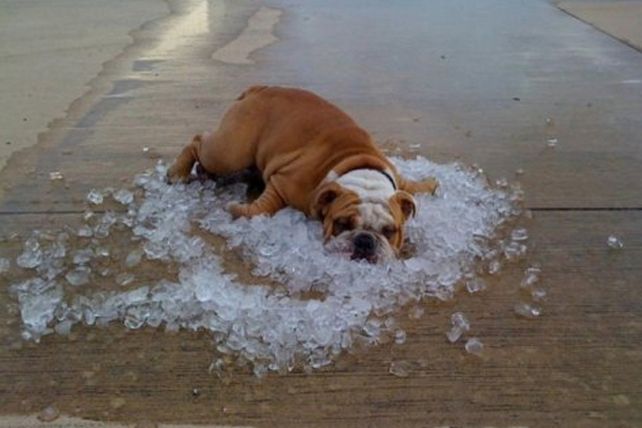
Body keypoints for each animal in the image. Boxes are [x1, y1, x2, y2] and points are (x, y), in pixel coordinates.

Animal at [165, 85, 438, 262]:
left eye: (390, 231)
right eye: (342, 224)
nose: (364, 240)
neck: (362, 172)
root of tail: (259, 89)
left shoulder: (396, 177)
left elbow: (409, 185)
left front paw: (430, 184)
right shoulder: (283, 183)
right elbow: (264, 207)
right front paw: (238, 210)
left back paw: (204, 173)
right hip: (232, 150)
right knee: (198, 141)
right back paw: (178, 172)